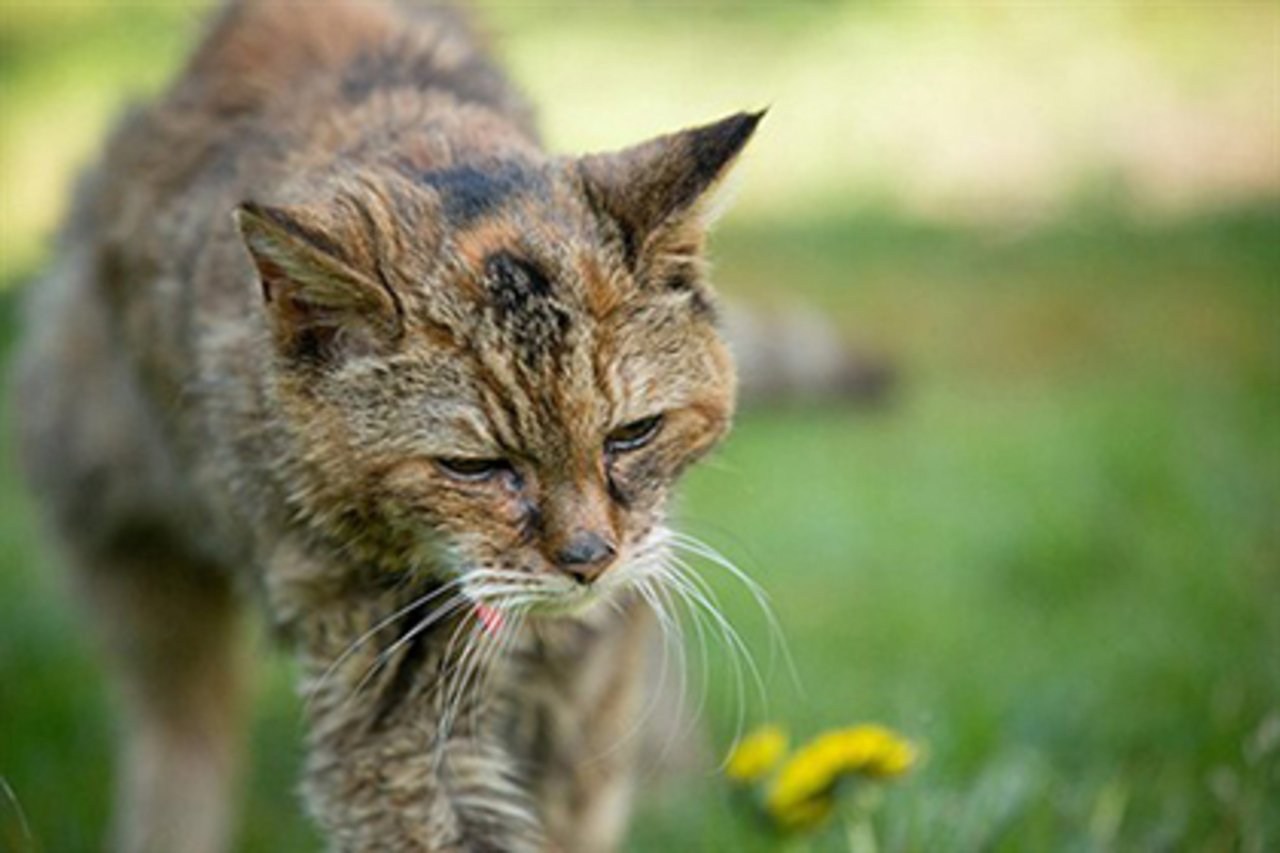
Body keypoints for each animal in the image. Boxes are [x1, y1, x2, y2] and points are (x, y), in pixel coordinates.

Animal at [15, 1, 757, 850]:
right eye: (473, 467)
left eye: (631, 433)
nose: (587, 559)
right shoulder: (387, 696)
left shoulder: (586, 671)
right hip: (128, 532)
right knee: (182, 717)